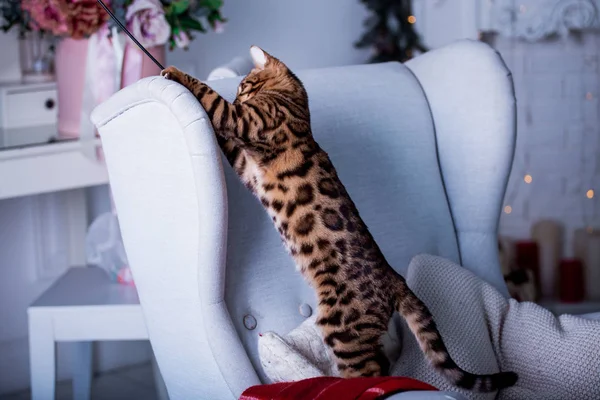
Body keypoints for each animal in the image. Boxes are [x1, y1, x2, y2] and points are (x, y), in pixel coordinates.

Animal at [162, 46, 516, 390]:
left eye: (243, 85)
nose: (238, 96)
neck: (297, 104)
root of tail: (395, 279)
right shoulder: (246, 165)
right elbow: (226, 140)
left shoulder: (250, 121)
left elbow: (212, 101)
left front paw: (176, 72)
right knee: (383, 366)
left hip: (341, 327)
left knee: (371, 373)